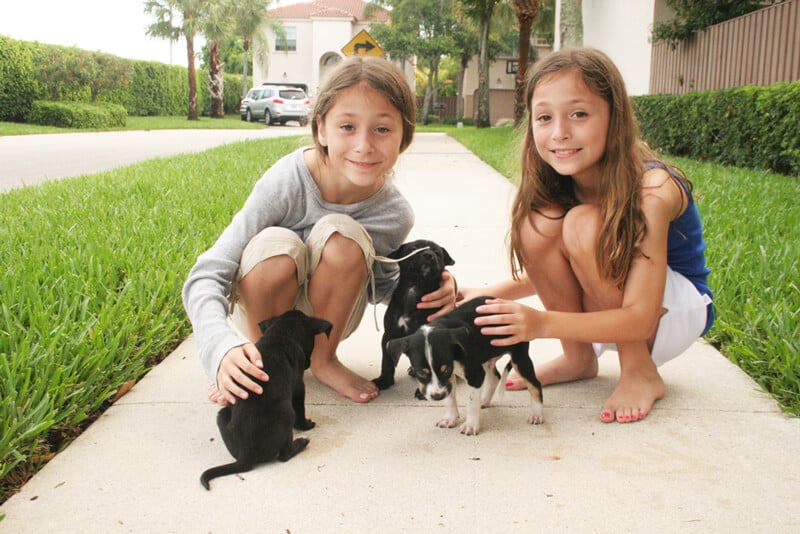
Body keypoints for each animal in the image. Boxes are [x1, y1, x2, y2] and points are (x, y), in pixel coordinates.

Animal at [203, 312, 334, 492]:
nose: (308, 364)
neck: (281, 333)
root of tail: (246, 455)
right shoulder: (298, 386)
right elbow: (301, 409)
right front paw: (306, 425)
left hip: (222, 414)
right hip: (287, 413)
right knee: (284, 455)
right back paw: (301, 442)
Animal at [372, 240, 454, 394]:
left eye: (437, 252)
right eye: (414, 248)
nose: (428, 254)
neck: (414, 287)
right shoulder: (389, 335)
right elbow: (387, 361)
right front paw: (384, 380)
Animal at [386, 298, 544, 436]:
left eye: (446, 369)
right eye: (421, 373)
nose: (437, 396)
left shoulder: (474, 374)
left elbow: (471, 403)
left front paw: (470, 425)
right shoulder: (452, 378)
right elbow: (450, 398)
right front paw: (450, 418)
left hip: (519, 357)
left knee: (535, 384)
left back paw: (537, 414)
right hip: (486, 357)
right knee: (495, 377)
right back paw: (484, 401)